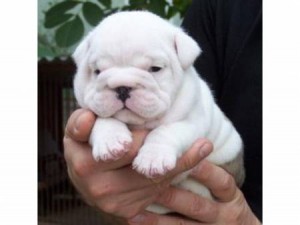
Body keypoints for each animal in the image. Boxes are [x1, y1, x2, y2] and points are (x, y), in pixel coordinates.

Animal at [72, 10, 244, 214]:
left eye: (155, 69)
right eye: (97, 71)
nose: (122, 88)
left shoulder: (192, 122)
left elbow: (165, 131)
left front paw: (152, 159)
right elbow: (102, 119)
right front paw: (110, 141)